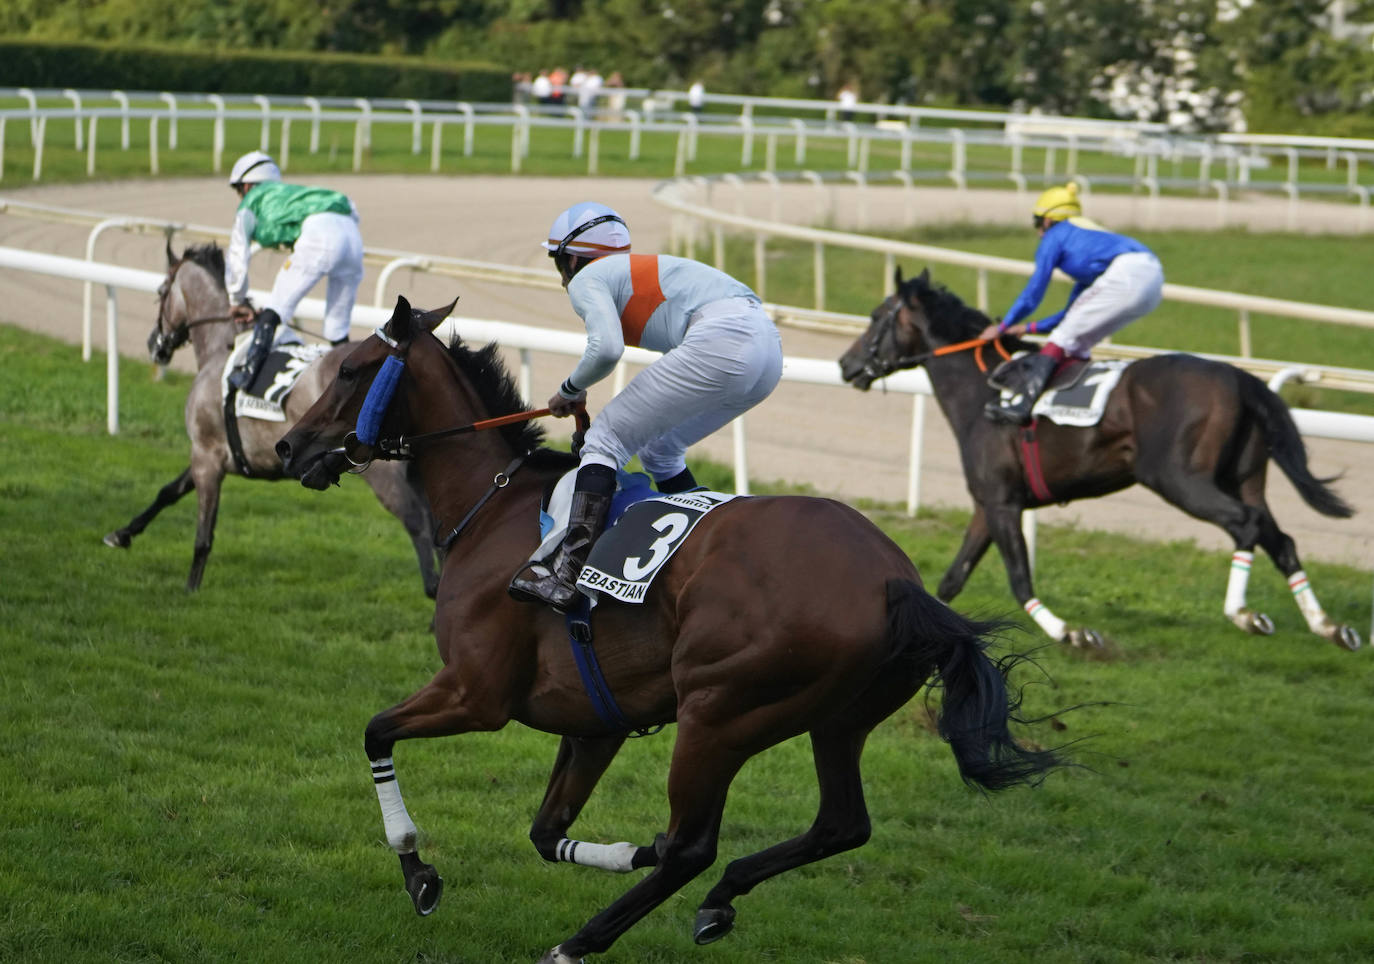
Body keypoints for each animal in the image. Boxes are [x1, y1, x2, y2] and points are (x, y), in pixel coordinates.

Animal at [104, 241, 436, 595]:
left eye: (161, 292)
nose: (154, 344)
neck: (222, 349)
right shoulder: (213, 454)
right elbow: (168, 491)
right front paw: (121, 534)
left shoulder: (206, 455)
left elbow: (203, 533)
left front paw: (191, 589)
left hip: (384, 473)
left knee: (418, 522)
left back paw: (434, 590)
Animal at [270, 296, 1060, 964]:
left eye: (350, 369)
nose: (286, 447)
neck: (490, 508)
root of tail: (899, 584)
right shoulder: (595, 722)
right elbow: (545, 833)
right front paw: (624, 851)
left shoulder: (476, 692)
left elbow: (375, 732)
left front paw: (419, 873)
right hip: (838, 720)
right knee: (840, 825)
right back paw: (718, 901)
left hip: (719, 712)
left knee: (692, 845)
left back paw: (579, 941)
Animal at [835, 267, 1363, 653]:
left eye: (876, 315)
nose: (845, 364)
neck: (980, 391)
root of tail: (1240, 377)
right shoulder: (989, 503)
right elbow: (951, 580)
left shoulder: (1004, 503)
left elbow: (1019, 577)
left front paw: (1070, 632)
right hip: (1245, 476)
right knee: (1281, 538)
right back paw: (1329, 626)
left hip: (1177, 477)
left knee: (1245, 524)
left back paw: (1244, 613)